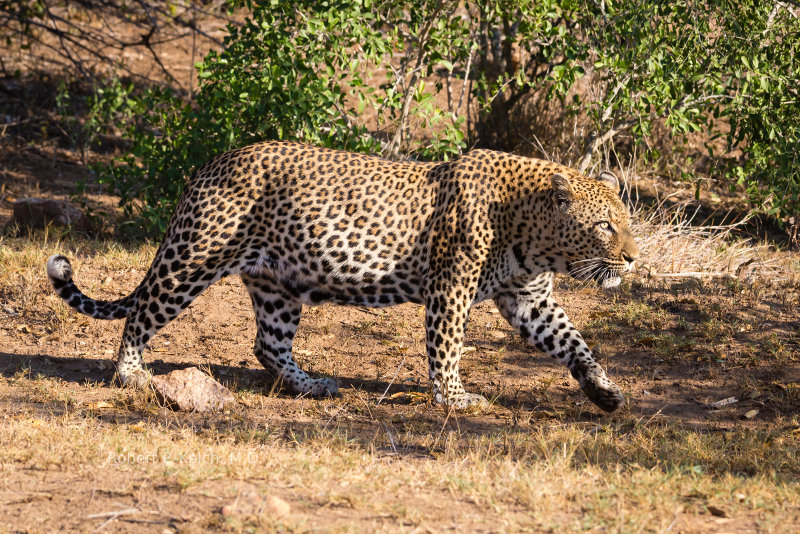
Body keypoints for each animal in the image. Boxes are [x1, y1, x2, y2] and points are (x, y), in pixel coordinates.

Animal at [48, 140, 636, 412]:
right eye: (604, 226)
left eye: (627, 221)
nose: (632, 258)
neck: (534, 235)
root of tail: (211, 164)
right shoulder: (450, 289)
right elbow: (446, 348)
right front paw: (454, 399)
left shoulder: (529, 298)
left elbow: (574, 342)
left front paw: (604, 391)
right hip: (195, 259)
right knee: (142, 314)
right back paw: (131, 375)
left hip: (277, 284)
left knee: (268, 345)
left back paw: (313, 385)